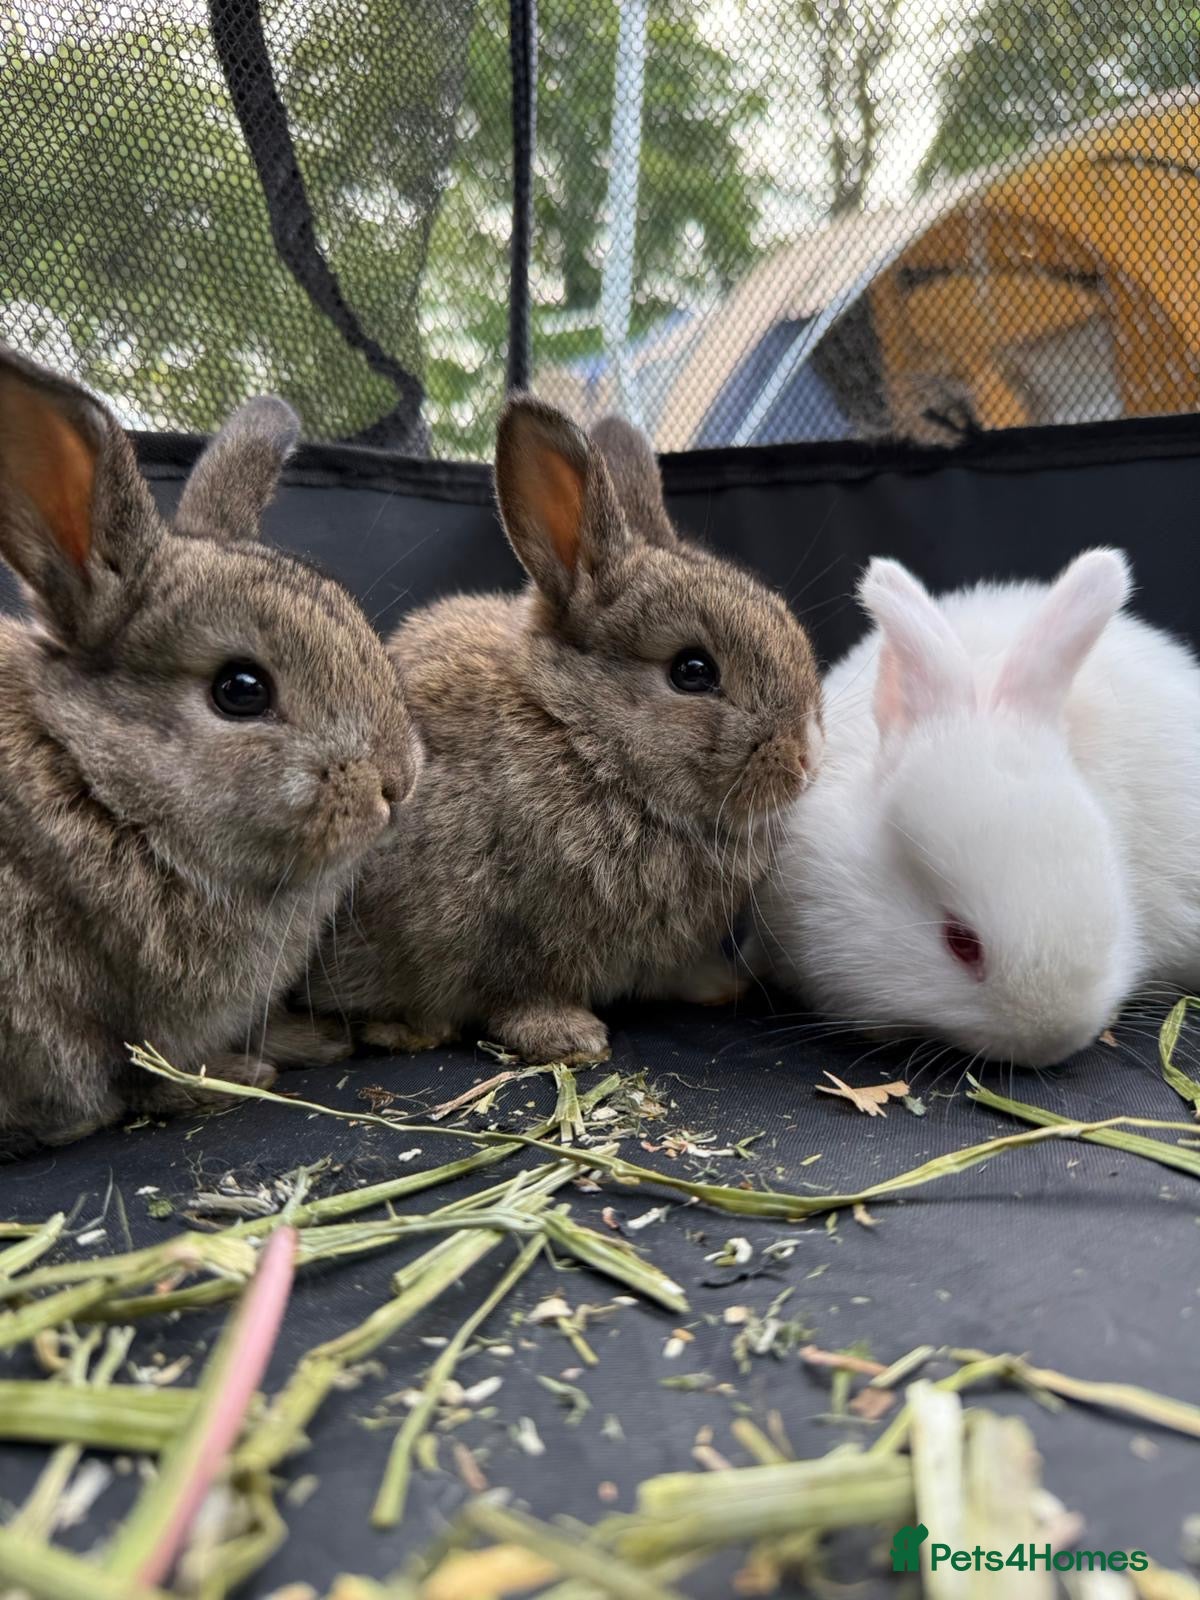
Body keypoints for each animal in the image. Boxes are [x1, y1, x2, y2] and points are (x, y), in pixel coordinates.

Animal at [0, 345, 420, 1150]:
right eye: (241, 689)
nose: (397, 783)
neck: (99, 785)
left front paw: (312, 1040)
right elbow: (131, 1079)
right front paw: (241, 1073)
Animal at [304, 395, 824, 1064]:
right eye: (693, 671)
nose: (806, 759)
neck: (585, 742)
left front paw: (718, 986)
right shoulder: (499, 928)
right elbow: (520, 991)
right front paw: (570, 1039)